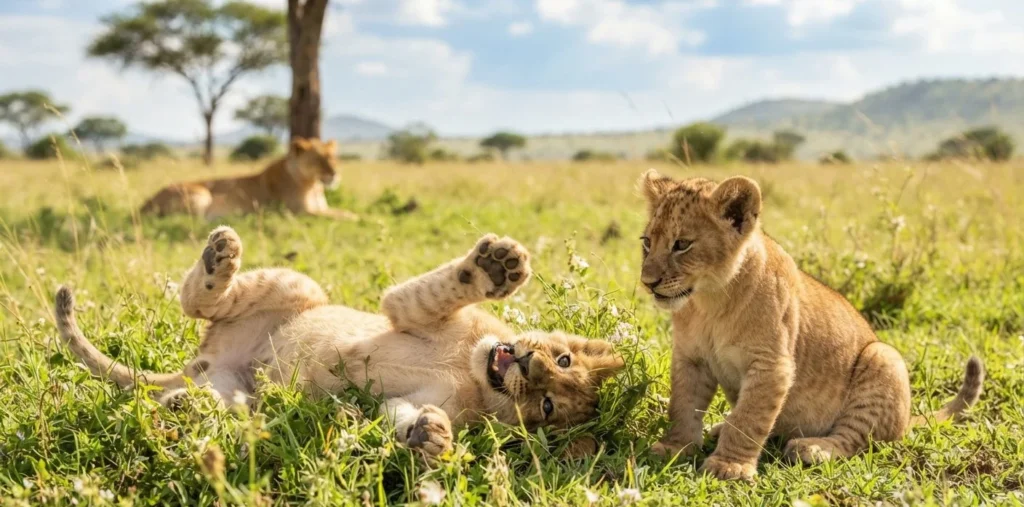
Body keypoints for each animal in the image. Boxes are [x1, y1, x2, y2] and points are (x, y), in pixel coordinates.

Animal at [54, 227, 624, 458]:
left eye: (547, 405)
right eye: (561, 357)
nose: (528, 366)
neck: (471, 372)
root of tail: (202, 362)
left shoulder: (420, 400)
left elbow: (400, 416)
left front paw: (432, 439)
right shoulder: (408, 311)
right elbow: (439, 290)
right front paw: (497, 267)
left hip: (241, 396)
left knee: (211, 403)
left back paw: (182, 409)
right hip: (296, 289)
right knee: (198, 301)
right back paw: (221, 255)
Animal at [139, 137, 357, 221]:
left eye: (333, 157)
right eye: (317, 159)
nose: (334, 173)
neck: (313, 185)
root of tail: (144, 204)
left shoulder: (321, 207)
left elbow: (344, 212)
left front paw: (359, 216)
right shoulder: (298, 212)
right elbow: (340, 217)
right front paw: (361, 220)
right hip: (201, 194)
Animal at [637, 170, 984, 481]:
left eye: (682, 244)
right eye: (647, 242)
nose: (647, 282)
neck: (709, 302)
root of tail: (908, 418)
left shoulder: (772, 365)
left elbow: (749, 418)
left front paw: (729, 465)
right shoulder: (691, 358)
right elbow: (683, 406)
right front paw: (676, 447)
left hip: (883, 357)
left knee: (854, 438)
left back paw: (812, 449)